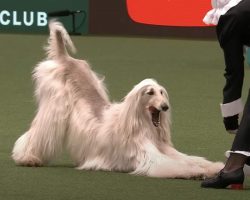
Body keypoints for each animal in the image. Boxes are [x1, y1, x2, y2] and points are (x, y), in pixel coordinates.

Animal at [11, 20, 224, 179]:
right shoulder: (146, 155)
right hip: (55, 107)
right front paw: (194, 172)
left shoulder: (163, 148)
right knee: (38, 132)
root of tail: (65, 57)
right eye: (149, 92)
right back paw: (28, 157)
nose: (165, 107)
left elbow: (189, 159)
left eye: (162, 92)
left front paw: (213, 167)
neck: (141, 124)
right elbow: (175, 165)